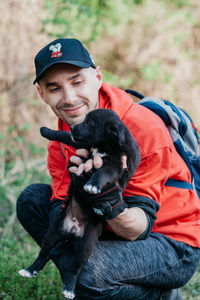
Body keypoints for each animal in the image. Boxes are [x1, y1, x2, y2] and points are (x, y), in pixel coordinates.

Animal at [18, 109, 141, 298]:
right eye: (85, 119)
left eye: (90, 123)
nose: (73, 127)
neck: (104, 146)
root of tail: (73, 229)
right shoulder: (84, 145)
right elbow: (65, 136)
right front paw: (47, 131)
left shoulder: (115, 165)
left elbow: (102, 172)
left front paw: (93, 185)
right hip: (54, 231)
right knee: (44, 253)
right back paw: (30, 270)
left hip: (85, 245)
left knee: (75, 268)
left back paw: (69, 288)